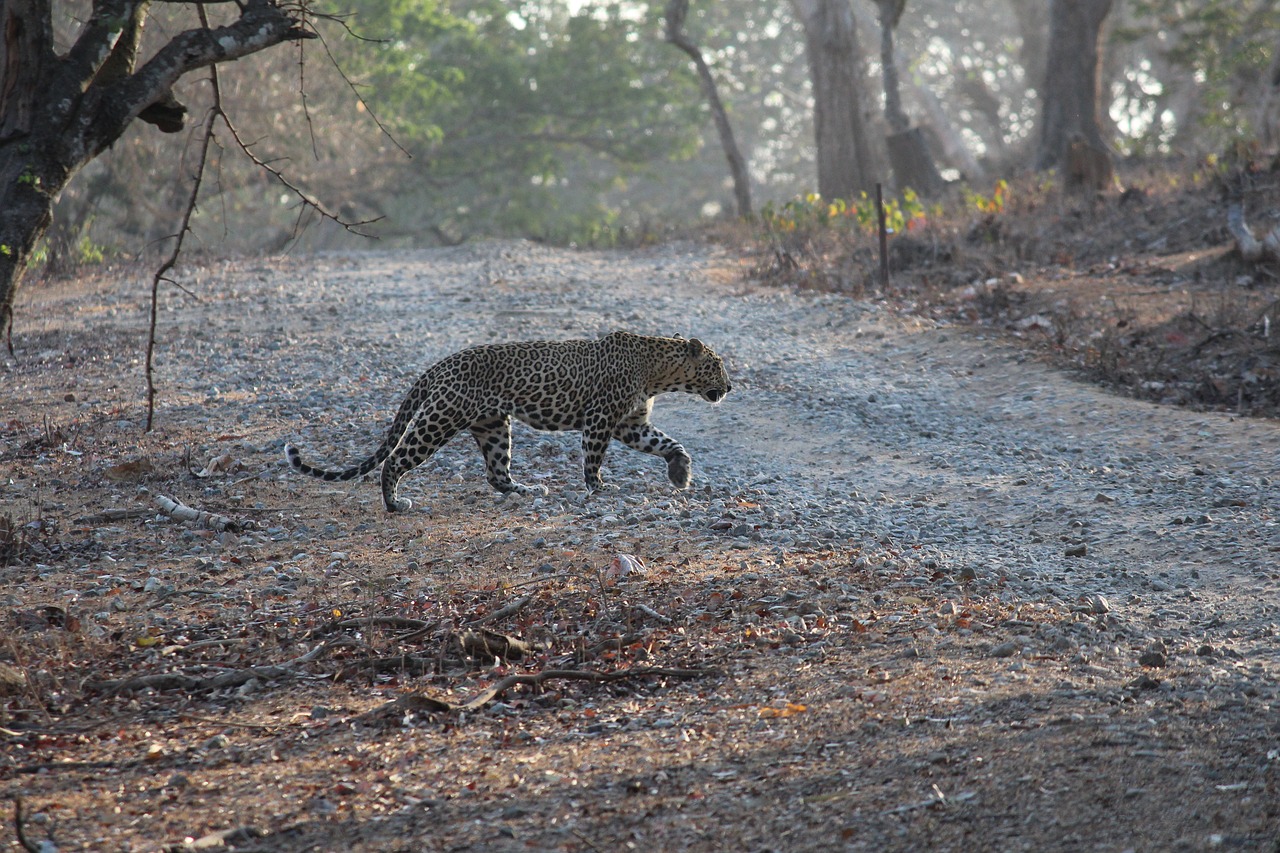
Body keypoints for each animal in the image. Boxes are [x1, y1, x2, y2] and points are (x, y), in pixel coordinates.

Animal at [286, 327, 737, 507]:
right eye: (716, 365)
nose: (731, 386)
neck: (657, 371)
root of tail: (438, 365)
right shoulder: (601, 419)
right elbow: (593, 458)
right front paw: (599, 488)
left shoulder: (631, 424)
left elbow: (670, 443)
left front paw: (680, 473)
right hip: (439, 419)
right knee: (395, 459)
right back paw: (395, 504)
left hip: (492, 425)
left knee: (495, 472)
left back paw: (526, 489)